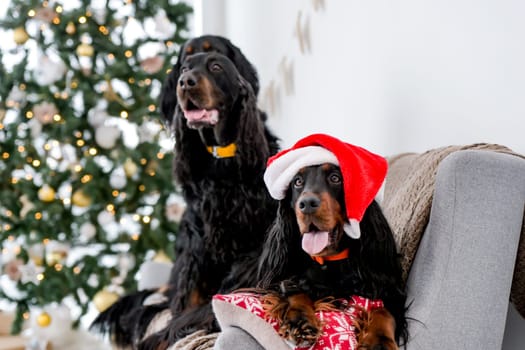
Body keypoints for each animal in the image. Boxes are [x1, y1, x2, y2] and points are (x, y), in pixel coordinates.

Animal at [256, 133, 408, 348]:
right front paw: (300, 320)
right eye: (297, 182)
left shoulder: (387, 289)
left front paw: (379, 340)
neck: (327, 261)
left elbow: (384, 310)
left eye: (335, 178)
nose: (307, 204)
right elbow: (294, 289)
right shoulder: (278, 282)